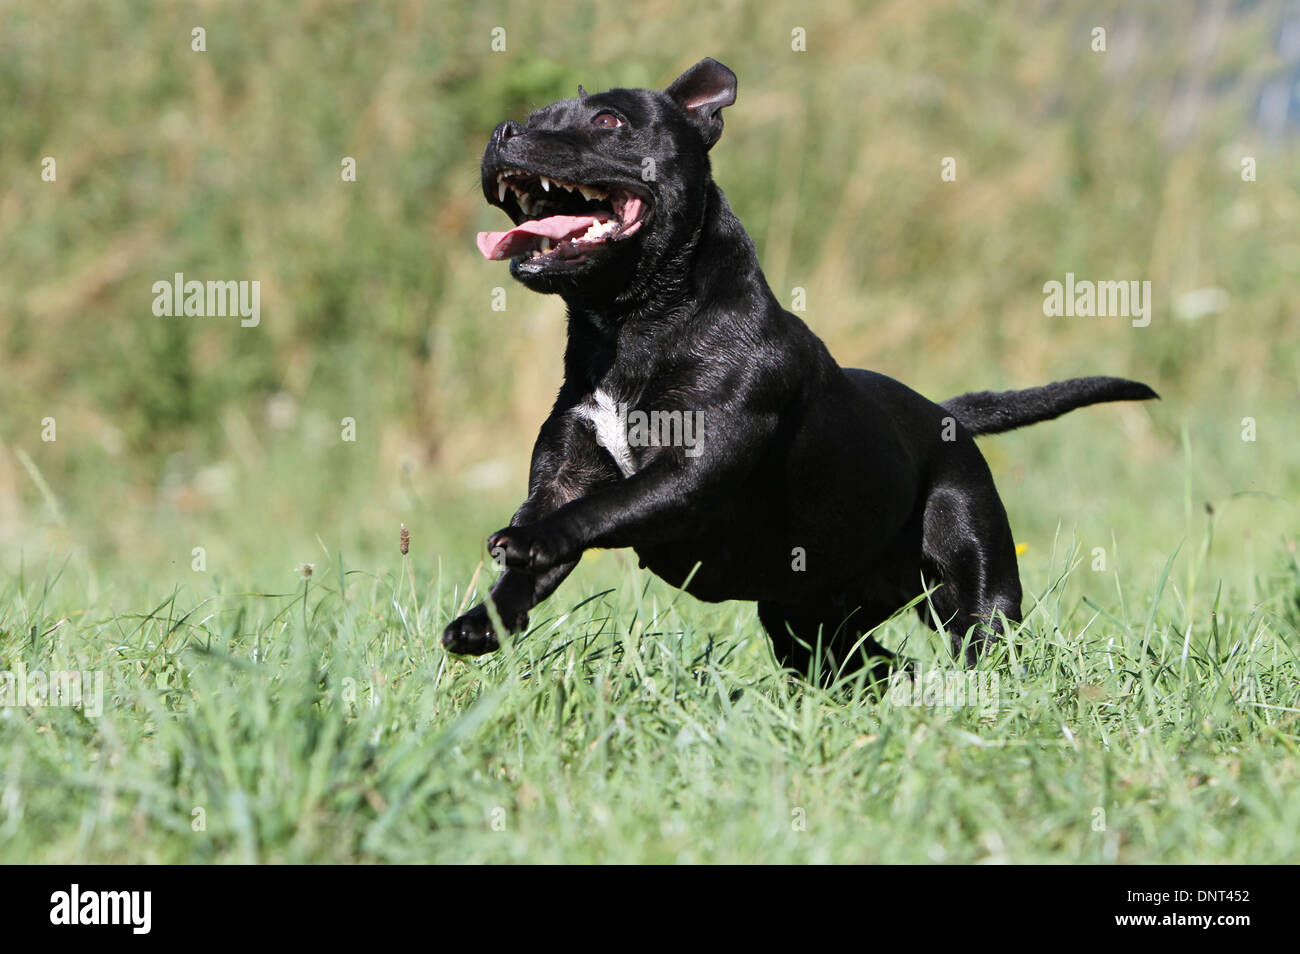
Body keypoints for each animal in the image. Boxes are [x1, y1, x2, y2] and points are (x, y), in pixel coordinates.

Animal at [441, 57, 1154, 681]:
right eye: (535, 116)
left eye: (608, 121)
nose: (504, 132)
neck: (631, 328)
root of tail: (943, 414)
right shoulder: (565, 477)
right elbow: (542, 551)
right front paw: (483, 621)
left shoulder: (688, 474)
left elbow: (603, 507)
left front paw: (526, 543)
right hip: (804, 619)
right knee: (872, 664)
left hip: (970, 578)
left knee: (975, 640)